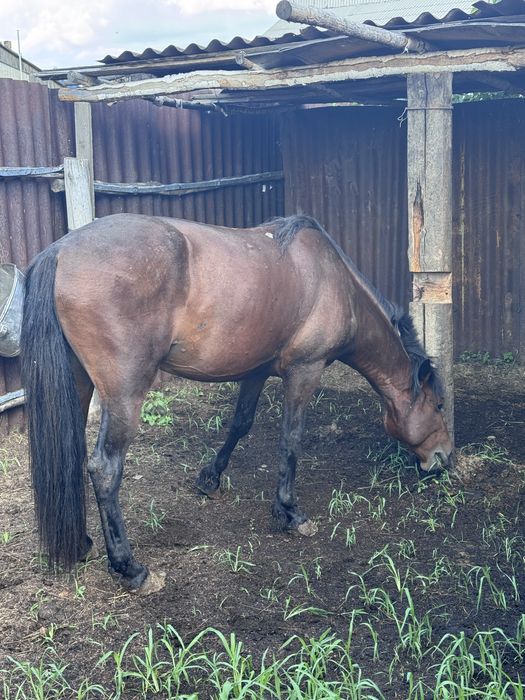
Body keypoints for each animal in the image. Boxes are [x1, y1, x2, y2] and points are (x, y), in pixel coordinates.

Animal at [21, 213, 452, 593]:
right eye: (439, 407)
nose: (444, 458)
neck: (337, 285)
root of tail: (59, 252)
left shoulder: (255, 371)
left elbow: (240, 424)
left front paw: (210, 479)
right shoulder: (305, 371)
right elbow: (291, 439)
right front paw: (290, 512)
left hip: (79, 386)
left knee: (72, 454)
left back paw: (81, 544)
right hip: (124, 396)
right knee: (105, 468)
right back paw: (130, 569)